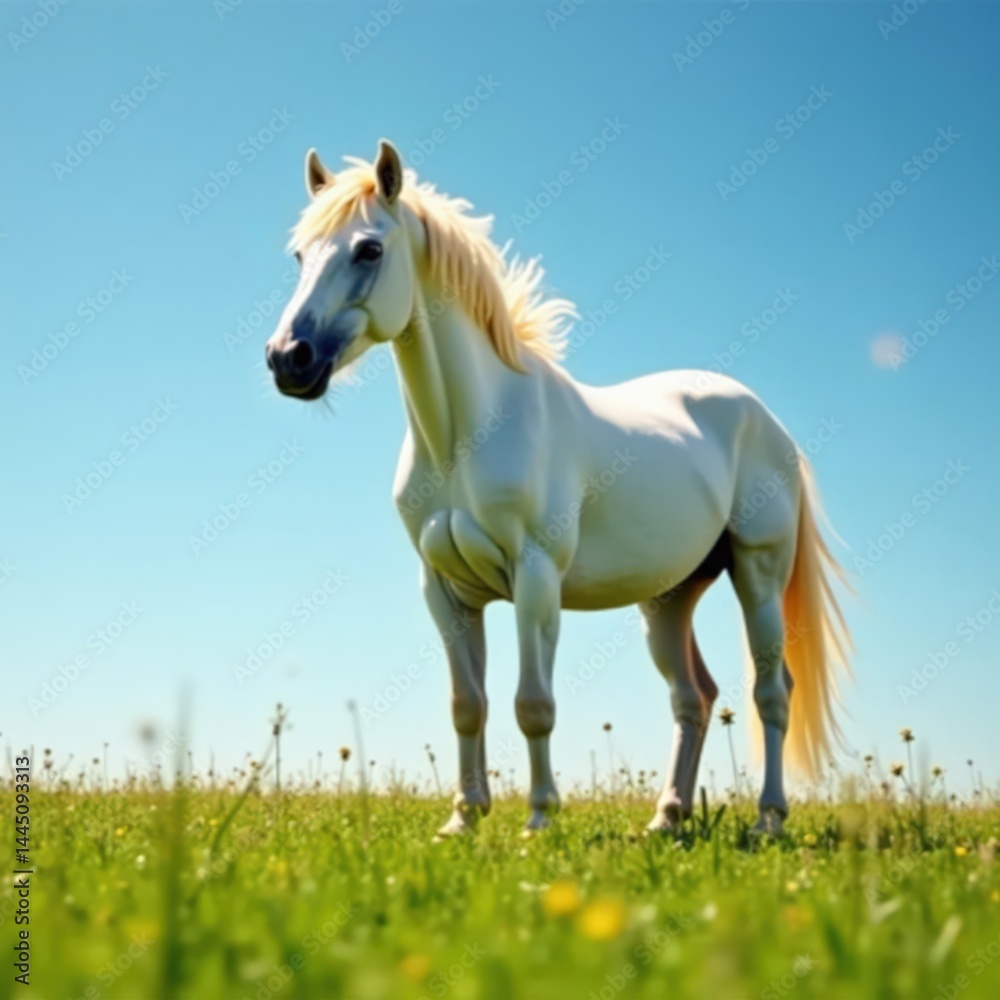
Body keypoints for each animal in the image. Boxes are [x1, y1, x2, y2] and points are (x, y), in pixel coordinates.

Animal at [264, 139, 851, 838]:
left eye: (369, 249)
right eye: (300, 255)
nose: (288, 359)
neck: (468, 432)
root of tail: (766, 421)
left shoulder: (535, 578)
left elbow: (532, 703)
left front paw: (540, 818)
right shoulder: (445, 591)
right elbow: (468, 704)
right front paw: (464, 819)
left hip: (759, 577)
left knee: (772, 693)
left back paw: (767, 821)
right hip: (669, 598)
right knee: (693, 698)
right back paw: (667, 819)